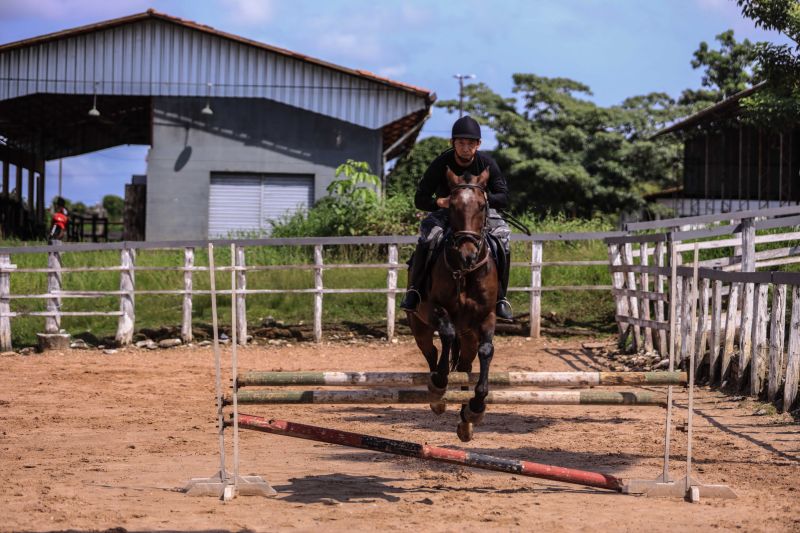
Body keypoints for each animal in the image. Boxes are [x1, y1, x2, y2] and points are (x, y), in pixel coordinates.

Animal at [410, 166, 496, 440]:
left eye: (482, 206)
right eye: (452, 206)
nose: (468, 254)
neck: (465, 273)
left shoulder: (487, 316)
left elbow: (486, 350)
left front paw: (476, 407)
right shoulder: (434, 309)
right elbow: (446, 334)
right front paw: (439, 383)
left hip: (468, 337)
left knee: (465, 366)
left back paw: (466, 420)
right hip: (419, 326)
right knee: (432, 352)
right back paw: (437, 395)